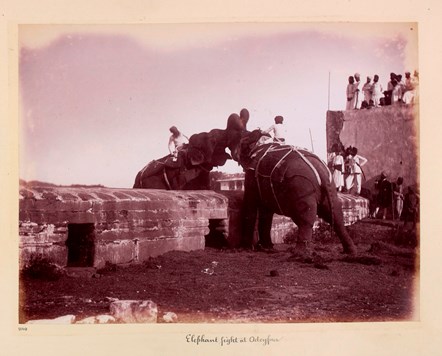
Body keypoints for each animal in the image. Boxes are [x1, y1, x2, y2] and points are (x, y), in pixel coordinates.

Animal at [226, 124, 358, 258]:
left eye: (242, 142)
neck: (260, 143)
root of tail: (322, 173)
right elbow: (266, 212)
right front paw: (266, 247)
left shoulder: (251, 174)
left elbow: (251, 205)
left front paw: (246, 247)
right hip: (329, 188)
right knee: (336, 214)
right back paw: (350, 251)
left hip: (302, 188)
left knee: (306, 216)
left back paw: (300, 253)